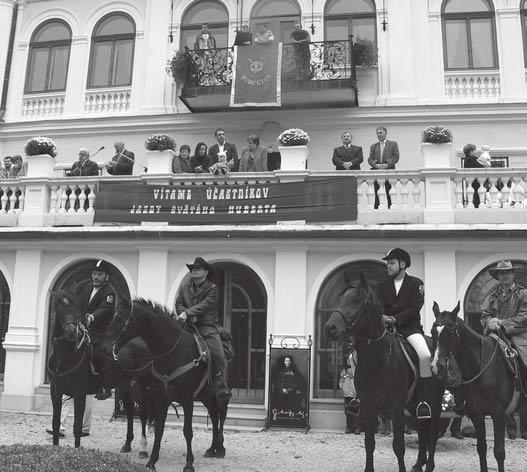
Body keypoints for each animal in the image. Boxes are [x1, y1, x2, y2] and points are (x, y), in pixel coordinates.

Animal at [46, 290, 154, 456]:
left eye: (76, 306)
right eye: (58, 306)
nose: (72, 332)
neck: (64, 357)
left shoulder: (79, 394)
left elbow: (77, 426)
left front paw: (76, 450)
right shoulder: (56, 393)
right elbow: (56, 423)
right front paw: (56, 447)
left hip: (140, 386)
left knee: (142, 414)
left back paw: (143, 448)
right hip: (124, 385)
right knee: (130, 412)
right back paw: (127, 444)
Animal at [108, 296, 230, 470]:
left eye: (122, 318)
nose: (109, 343)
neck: (173, 352)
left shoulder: (187, 399)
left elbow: (187, 431)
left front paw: (189, 464)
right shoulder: (161, 396)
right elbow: (158, 428)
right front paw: (151, 461)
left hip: (219, 393)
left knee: (221, 413)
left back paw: (219, 448)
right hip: (206, 395)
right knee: (214, 415)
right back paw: (211, 449)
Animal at [324, 272, 444, 472]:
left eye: (357, 300)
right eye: (339, 298)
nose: (329, 328)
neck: (377, 360)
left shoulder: (396, 407)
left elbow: (399, 446)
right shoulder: (368, 405)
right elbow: (369, 443)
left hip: (434, 401)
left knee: (432, 432)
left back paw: (429, 465)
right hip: (415, 404)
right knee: (421, 429)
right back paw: (419, 464)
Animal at [434, 302, 520, 472]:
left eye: (451, 330)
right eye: (433, 330)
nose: (438, 366)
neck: (483, 368)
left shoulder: (498, 414)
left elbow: (499, 452)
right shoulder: (476, 415)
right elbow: (481, 448)